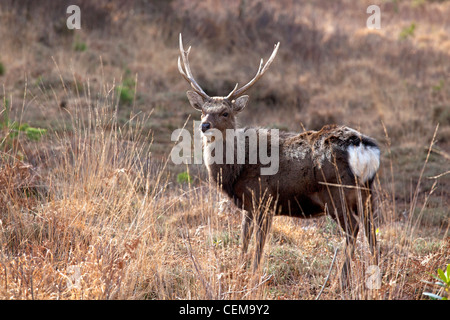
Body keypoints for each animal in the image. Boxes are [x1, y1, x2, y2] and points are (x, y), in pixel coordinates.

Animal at [176, 33, 380, 288]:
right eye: (202, 110)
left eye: (225, 112)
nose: (204, 125)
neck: (237, 168)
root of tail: (363, 147)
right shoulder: (249, 206)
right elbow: (243, 240)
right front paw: (239, 271)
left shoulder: (265, 199)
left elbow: (259, 244)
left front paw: (253, 277)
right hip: (367, 193)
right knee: (372, 231)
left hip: (336, 193)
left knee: (353, 229)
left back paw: (339, 282)